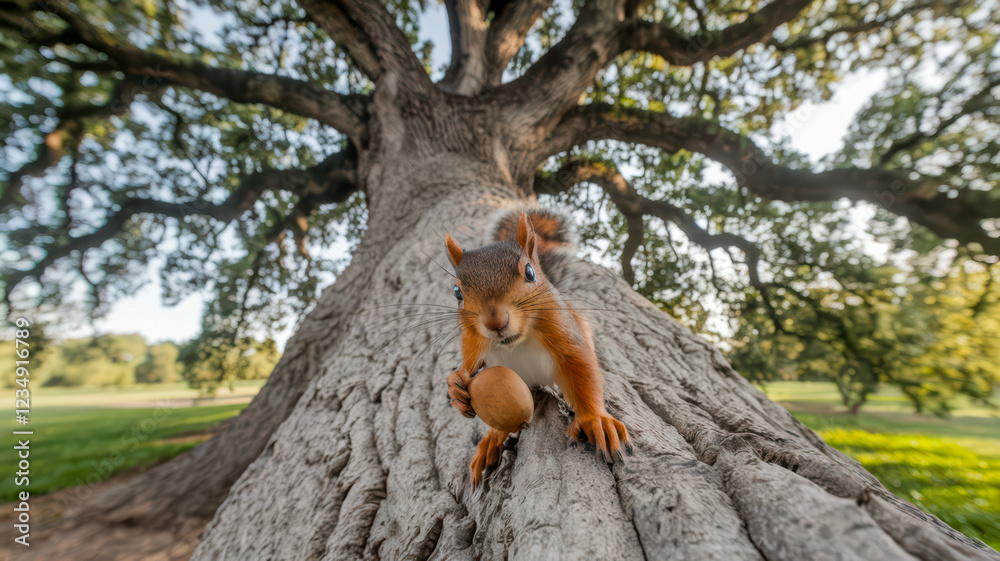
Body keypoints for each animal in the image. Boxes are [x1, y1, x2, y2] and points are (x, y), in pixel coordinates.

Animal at [444, 209, 630, 487]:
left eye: (530, 273)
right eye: (457, 292)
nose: (495, 322)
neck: (516, 342)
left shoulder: (563, 330)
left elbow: (582, 366)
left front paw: (596, 420)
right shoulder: (471, 338)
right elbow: (469, 364)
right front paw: (455, 385)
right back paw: (493, 437)